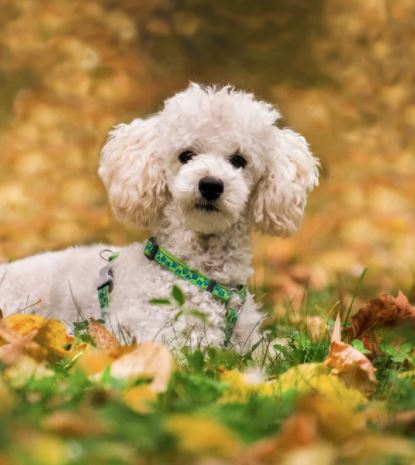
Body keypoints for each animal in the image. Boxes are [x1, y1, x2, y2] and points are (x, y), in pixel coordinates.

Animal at [0, 83, 319, 351]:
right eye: (186, 155)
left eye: (239, 160)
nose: (211, 185)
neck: (202, 275)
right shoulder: (164, 336)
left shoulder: (250, 343)